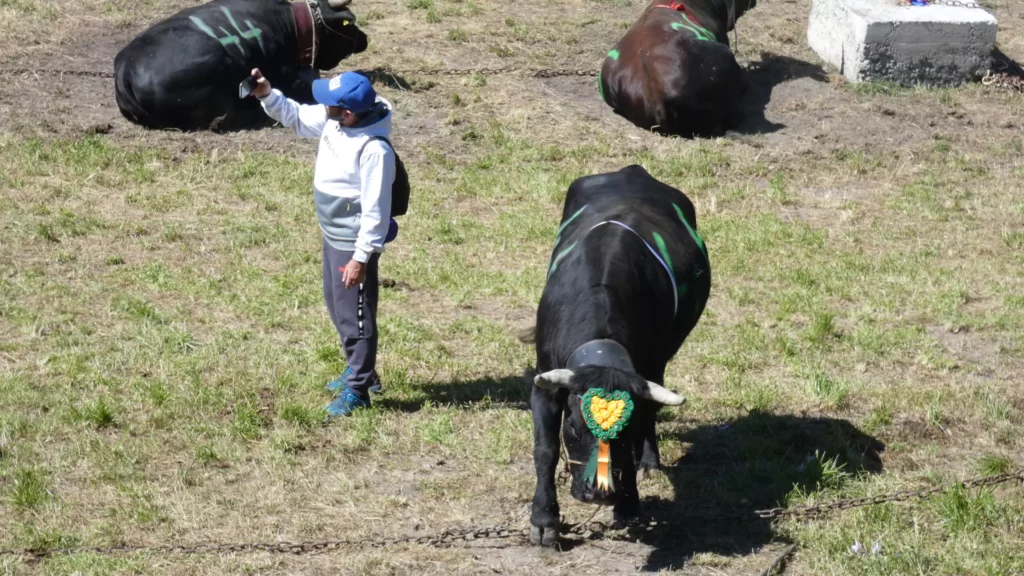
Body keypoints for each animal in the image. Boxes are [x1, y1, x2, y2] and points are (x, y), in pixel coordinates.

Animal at [528, 165, 712, 541]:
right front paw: (544, 521)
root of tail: (634, 171)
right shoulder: (544, 381)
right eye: (573, 429)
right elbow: (545, 449)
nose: (598, 494)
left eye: (625, 432)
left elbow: (642, 428)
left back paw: (651, 464)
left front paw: (629, 503)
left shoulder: (647, 372)